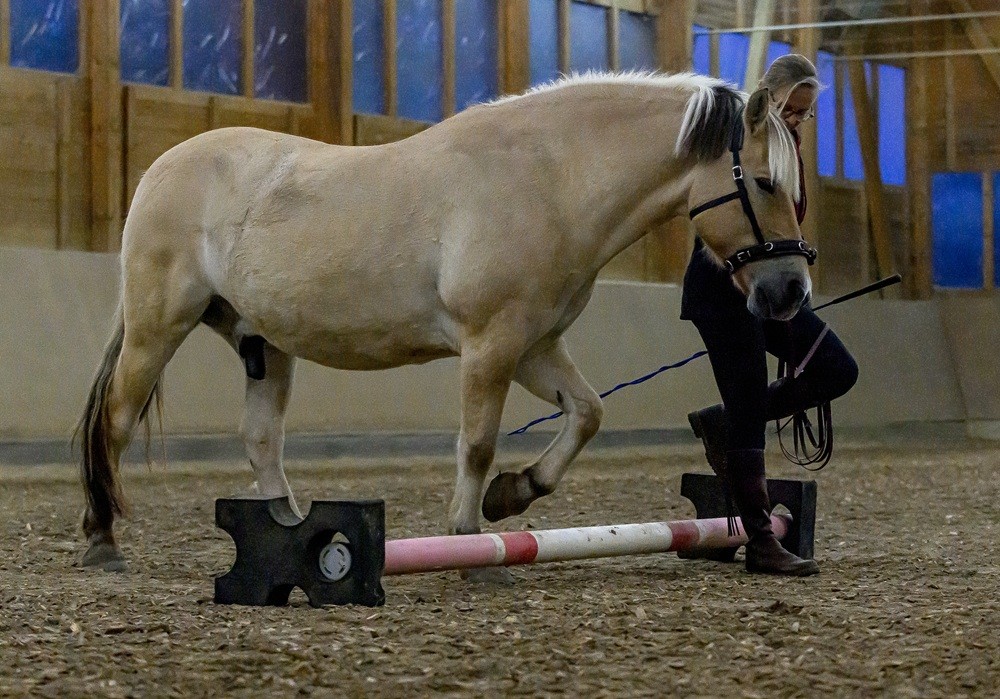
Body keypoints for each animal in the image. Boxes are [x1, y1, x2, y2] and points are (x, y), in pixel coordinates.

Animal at [78, 72, 815, 581]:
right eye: (767, 183)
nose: (790, 290)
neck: (547, 178)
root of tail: (161, 168)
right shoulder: (491, 343)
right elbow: (478, 442)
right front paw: (468, 541)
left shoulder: (535, 346)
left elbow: (587, 413)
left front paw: (513, 495)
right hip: (157, 328)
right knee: (115, 422)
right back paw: (102, 540)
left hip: (263, 344)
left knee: (261, 442)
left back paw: (292, 532)